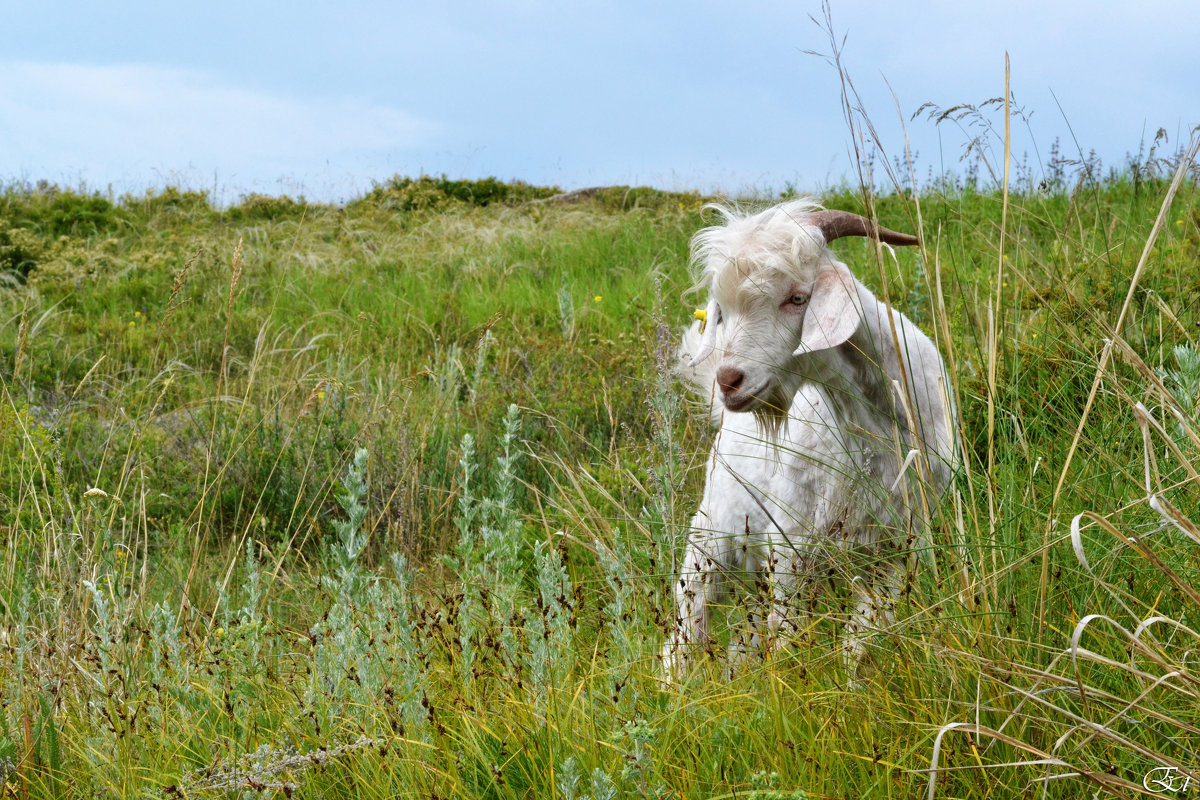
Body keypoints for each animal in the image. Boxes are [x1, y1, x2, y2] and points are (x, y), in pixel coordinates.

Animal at [667, 200, 955, 681]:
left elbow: (860, 641)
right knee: (688, 619)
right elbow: (787, 637)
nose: (729, 381)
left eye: (797, 298)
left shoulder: (898, 547)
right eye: (722, 311)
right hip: (714, 534)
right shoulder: (792, 546)